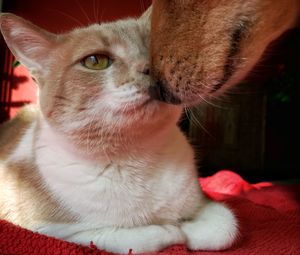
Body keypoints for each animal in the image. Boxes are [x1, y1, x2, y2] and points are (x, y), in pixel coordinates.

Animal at [0, 10, 238, 255]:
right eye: (95, 61)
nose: (150, 69)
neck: (136, 157)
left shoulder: (203, 201)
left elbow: (224, 227)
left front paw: (189, 228)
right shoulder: (46, 227)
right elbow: (123, 237)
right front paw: (173, 230)